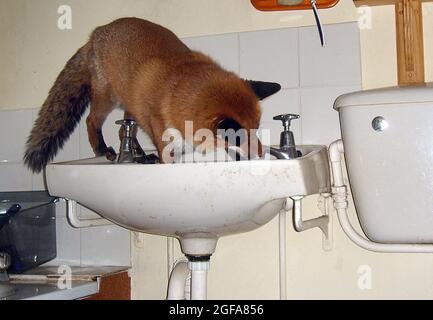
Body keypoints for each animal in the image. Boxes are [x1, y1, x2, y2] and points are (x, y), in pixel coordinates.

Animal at [24, 17, 280, 172]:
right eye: (237, 136)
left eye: (257, 128)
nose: (261, 155)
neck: (178, 89)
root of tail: (96, 33)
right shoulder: (159, 127)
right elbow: (167, 155)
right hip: (107, 98)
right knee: (91, 120)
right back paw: (103, 149)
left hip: (130, 106)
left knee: (123, 130)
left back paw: (138, 154)